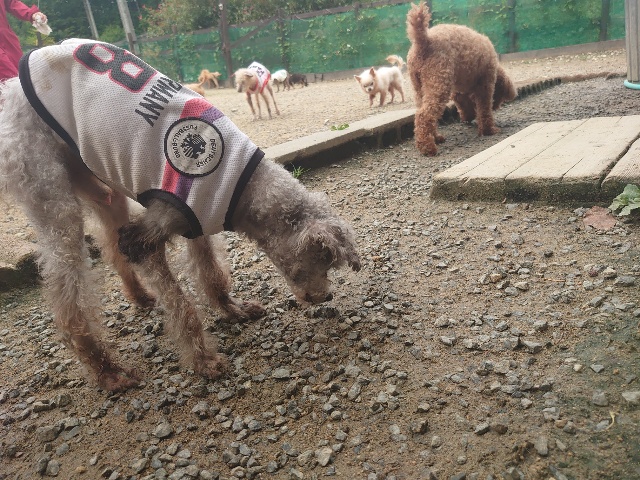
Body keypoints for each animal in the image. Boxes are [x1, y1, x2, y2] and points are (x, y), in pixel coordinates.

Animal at [0, 39, 361, 392]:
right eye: (323, 261)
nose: (328, 295)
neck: (243, 187)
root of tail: (12, 84)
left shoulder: (198, 218)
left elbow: (211, 275)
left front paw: (233, 311)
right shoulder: (146, 240)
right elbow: (181, 306)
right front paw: (203, 360)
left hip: (99, 179)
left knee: (110, 241)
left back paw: (140, 296)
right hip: (53, 198)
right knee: (68, 297)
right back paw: (107, 370)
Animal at [406, 2, 516, 156]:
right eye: (499, 97)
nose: (497, 107)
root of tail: (424, 40)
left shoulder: (459, 91)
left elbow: (465, 105)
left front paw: (468, 117)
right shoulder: (486, 85)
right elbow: (484, 109)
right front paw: (489, 130)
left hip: (419, 87)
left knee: (422, 113)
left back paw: (436, 137)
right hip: (438, 83)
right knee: (423, 115)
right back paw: (428, 147)